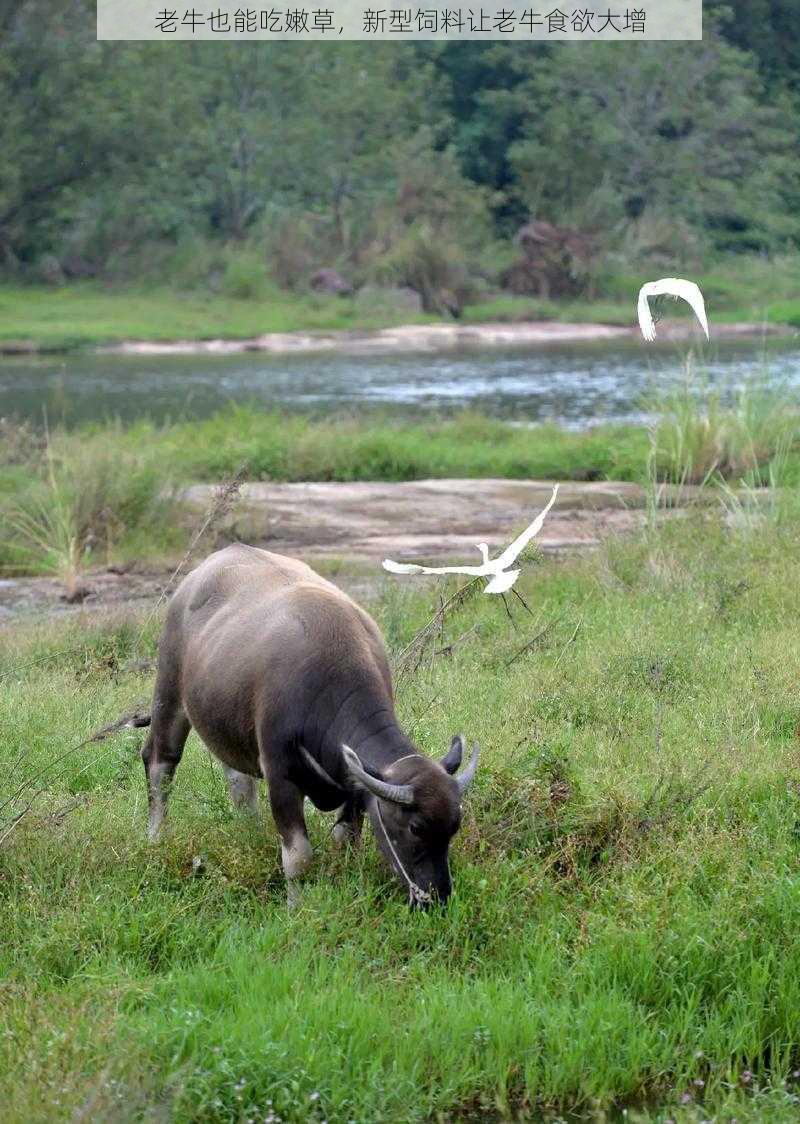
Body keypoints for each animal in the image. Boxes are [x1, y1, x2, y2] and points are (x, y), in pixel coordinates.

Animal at [140, 544, 478, 903]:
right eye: (415, 827)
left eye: (454, 826)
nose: (437, 897)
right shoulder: (281, 775)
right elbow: (299, 856)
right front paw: (296, 904)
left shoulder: (354, 784)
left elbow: (345, 840)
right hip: (169, 693)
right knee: (160, 761)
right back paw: (156, 837)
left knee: (237, 778)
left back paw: (251, 830)